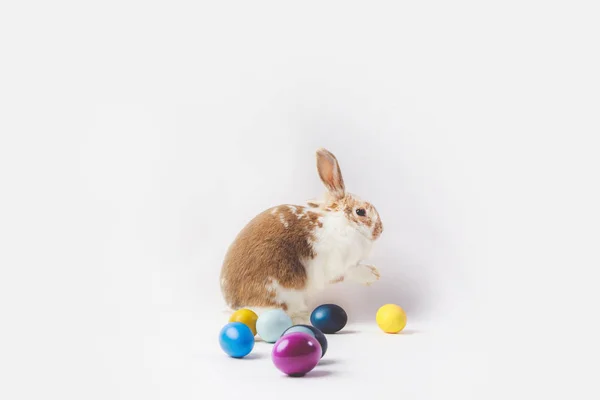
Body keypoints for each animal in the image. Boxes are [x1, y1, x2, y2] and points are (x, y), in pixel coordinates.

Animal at [220, 148, 384, 324]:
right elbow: (351, 272)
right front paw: (373, 274)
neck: (344, 222)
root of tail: (234, 305)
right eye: (360, 212)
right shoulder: (338, 266)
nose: (380, 230)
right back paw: (301, 318)